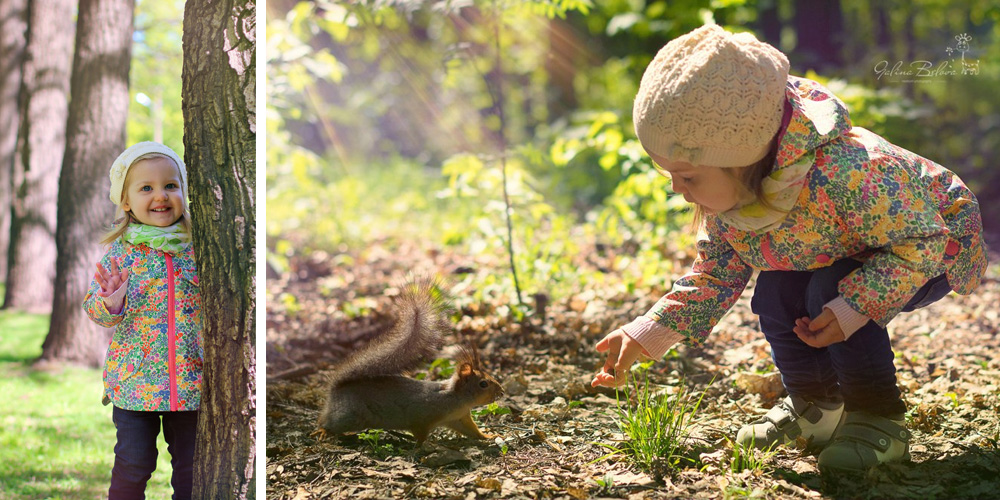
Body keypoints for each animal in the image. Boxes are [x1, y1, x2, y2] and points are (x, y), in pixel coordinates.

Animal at [316, 280, 504, 444]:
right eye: (483, 384)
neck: (457, 398)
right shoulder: (422, 417)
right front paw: (425, 446)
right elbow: (420, 434)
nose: (501, 392)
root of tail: (335, 390)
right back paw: (324, 431)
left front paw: (488, 436)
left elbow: (472, 431)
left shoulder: (459, 419)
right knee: (328, 422)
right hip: (348, 417)